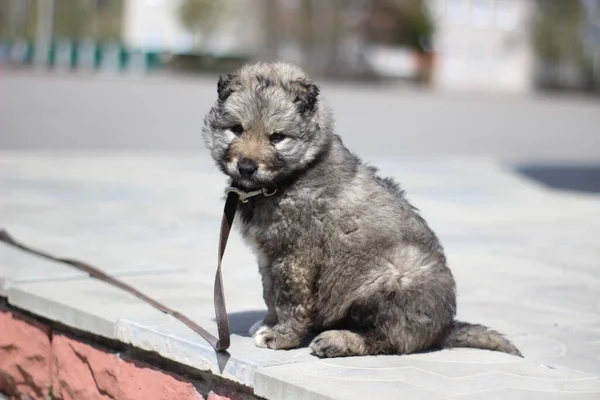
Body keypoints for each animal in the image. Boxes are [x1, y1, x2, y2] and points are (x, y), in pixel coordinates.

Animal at [202, 61, 520, 360]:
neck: (288, 179)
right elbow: (270, 293)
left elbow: (291, 300)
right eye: (236, 129)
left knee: (385, 339)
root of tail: (443, 328)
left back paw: (336, 341)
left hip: (389, 281)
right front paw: (269, 323)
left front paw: (281, 337)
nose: (246, 167)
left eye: (277, 137)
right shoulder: (269, 257)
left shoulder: (297, 258)